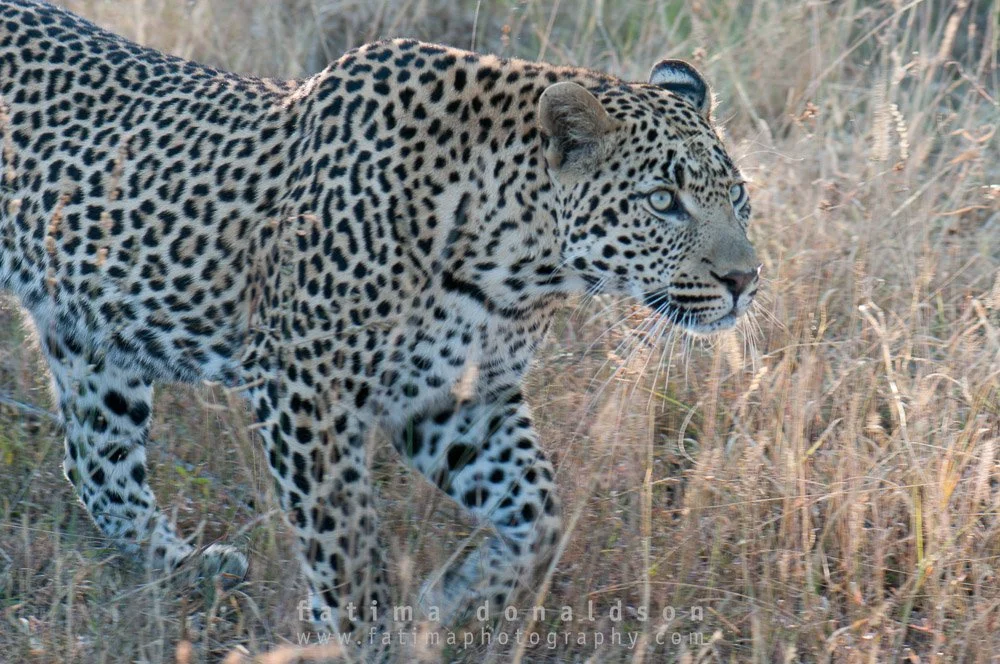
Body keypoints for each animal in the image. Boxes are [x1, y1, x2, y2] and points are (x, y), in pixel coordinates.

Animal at [0, 0, 760, 636]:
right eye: (662, 201)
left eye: (738, 195)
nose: (745, 280)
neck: (517, 267)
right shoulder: (308, 391)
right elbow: (344, 542)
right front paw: (360, 635)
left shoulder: (457, 398)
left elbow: (539, 511)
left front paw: (454, 595)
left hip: (92, 341)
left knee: (96, 464)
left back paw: (189, 567)